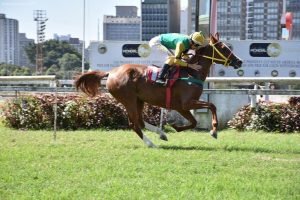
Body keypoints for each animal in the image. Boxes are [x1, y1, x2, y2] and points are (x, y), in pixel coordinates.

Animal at [75, 33, 244, 148]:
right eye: (223, 47)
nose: (239, 61)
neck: (191, 73)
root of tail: (111, 72)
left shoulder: (182, 107)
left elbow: (195, 121)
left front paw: (176, 128)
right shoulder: (186, 103)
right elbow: (212, 106)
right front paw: (214, 131)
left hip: (139, 100)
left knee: (140, 122)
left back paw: (161, 134)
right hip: (128, 100)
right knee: (134, 124)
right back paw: (151, 144)